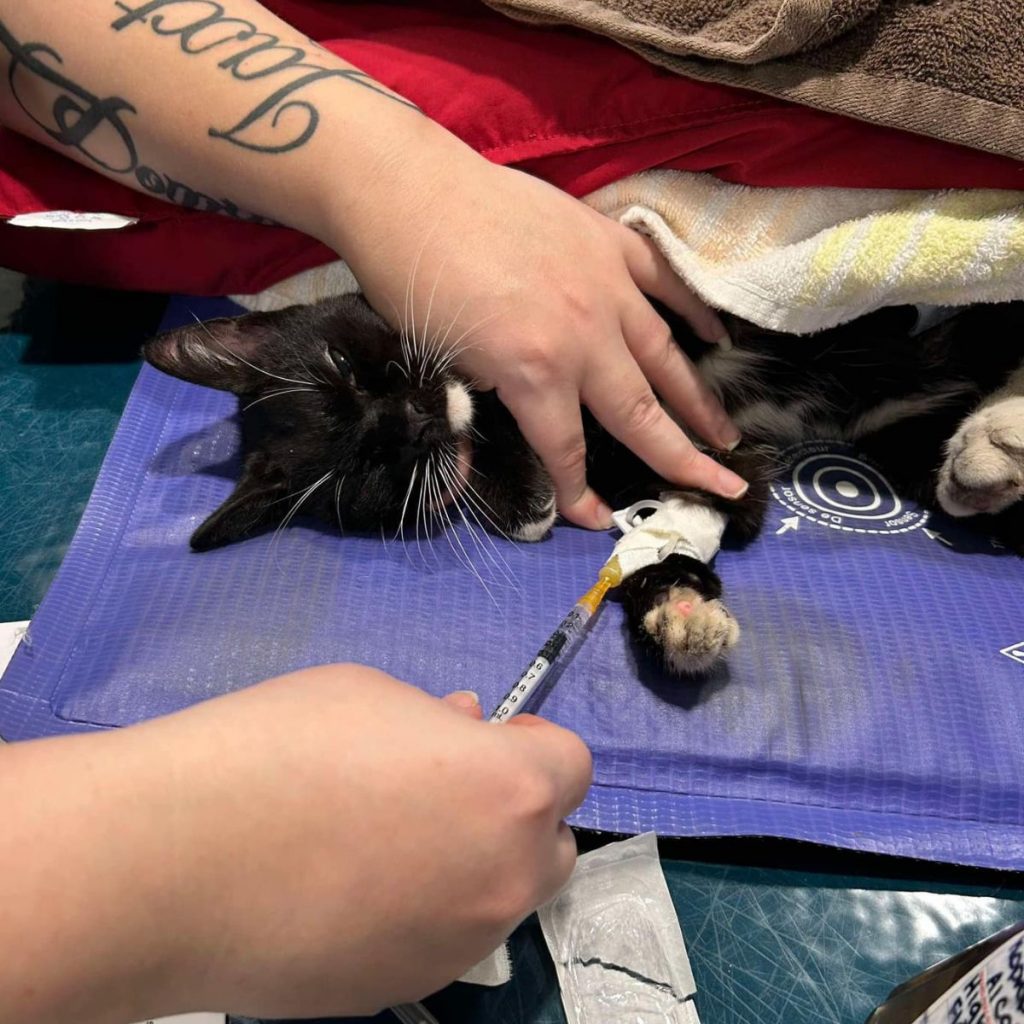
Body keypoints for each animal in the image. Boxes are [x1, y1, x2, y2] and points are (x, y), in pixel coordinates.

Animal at [144, 299, 1024, 671]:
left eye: (343, 368)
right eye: (371, 465)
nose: (412, 419)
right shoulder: (644, 476)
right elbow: (674, 527)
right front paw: (677, 613)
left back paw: (993, 438)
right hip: (899, 432)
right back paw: (983, 466)